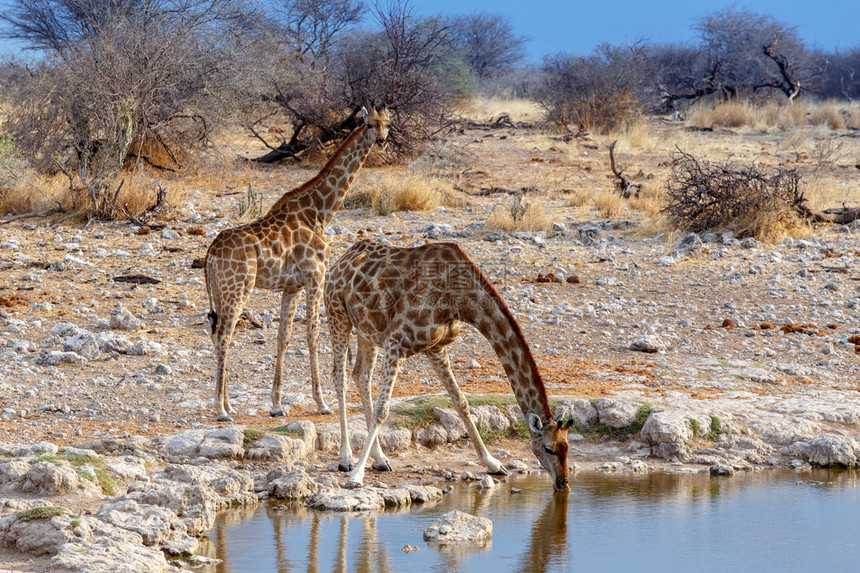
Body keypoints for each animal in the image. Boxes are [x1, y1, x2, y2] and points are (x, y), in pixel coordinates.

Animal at [203, 104, 392, 420]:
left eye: (387, 124)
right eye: (368, 124)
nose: (381, 141)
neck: (319, 212)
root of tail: (210, 252)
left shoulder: (292, 287)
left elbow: (284, 337)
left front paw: (277, 404)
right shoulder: (316, 276)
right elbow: (313, 334)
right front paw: (322, 402)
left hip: (219, 290)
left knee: (218, 335)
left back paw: (228, 404)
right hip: (238, 288)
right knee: (223, 336)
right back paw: (220, 409)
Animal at [322, 239, 572, 490]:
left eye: (566, 447)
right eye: (548, 448)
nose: (563, 483)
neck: (459, 299)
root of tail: (341, 259)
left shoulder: (436, 348)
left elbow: (461, 402)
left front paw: (493, 463)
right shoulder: (396, 343)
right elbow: (382, 410)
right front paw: (356, 476)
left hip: (368, 330)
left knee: (361, 375)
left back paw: (381, 459)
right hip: (337, 314)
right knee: (339, 376)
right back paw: (346, 460)